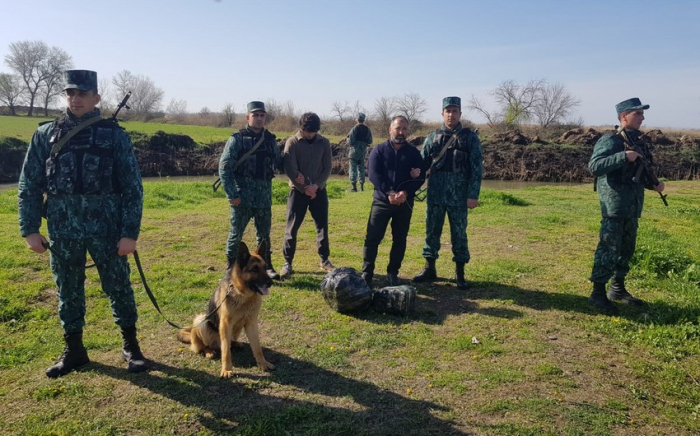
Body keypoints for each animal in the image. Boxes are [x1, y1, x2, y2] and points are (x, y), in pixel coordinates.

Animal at [176, 240, 274, 376]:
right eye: (254, 269)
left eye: (265, 268)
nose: (271, 283)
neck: (242, 294)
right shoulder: (226, 324)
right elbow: (226, 351)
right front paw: (227, 369)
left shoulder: (252, 324)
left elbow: (257, 347)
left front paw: (263, 364)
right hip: (201, 320)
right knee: (204, 346)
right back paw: (209, 351)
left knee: (229, 342)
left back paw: (235, 343)